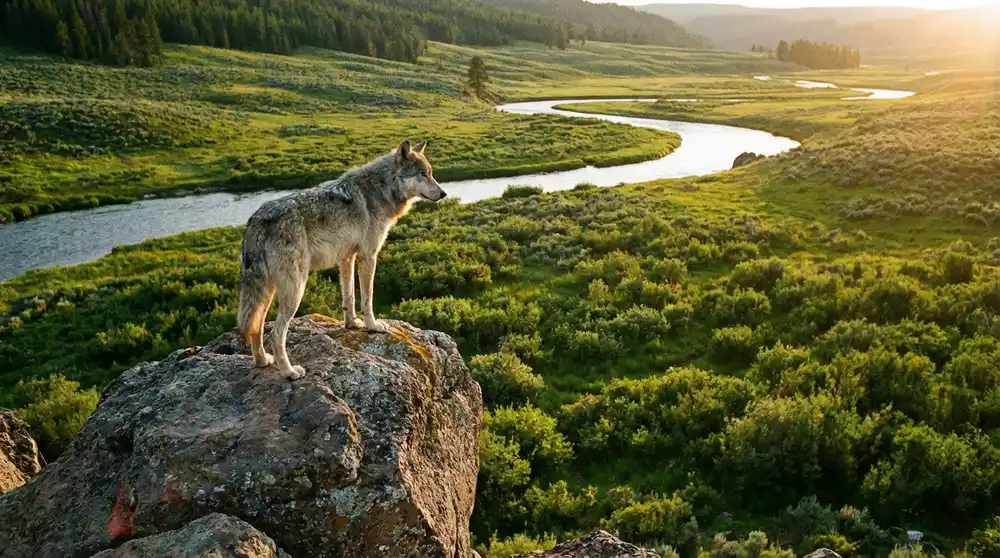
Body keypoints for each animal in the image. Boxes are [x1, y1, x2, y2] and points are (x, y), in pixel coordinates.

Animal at [236, 139, 447, 379]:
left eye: (430, 173)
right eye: (422, 174)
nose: (443, 193)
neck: (382, 188)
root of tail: (257, 219)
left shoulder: (347, 258)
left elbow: (349, 296)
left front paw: (352, 324)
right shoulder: (368, 256)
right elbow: (367, 298)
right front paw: (373, 326)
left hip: (268, 291)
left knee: (256, 326)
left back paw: (262, 361)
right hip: (295, 289)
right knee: (276, 332)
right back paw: (290, 372)